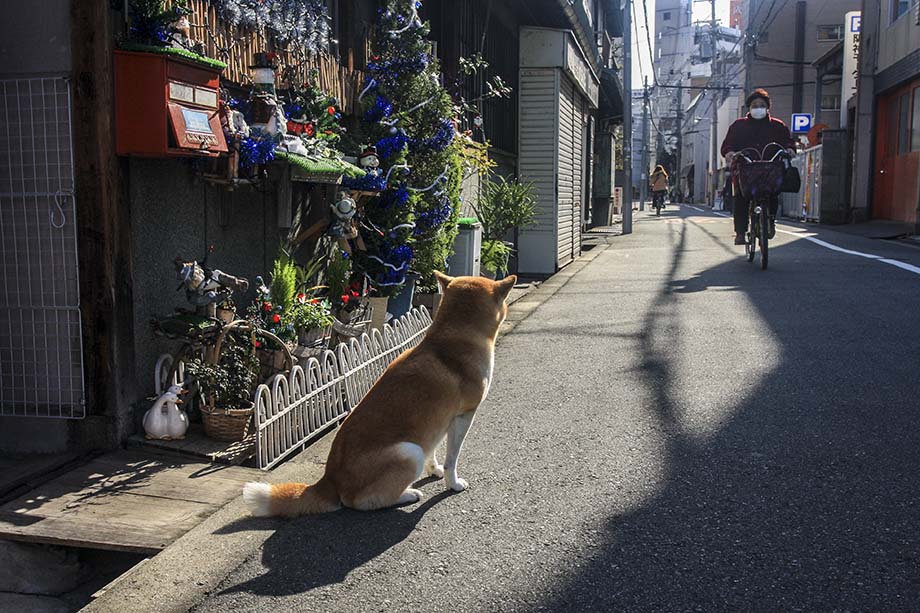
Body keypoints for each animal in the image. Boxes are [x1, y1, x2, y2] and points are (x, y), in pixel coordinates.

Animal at [244, 270, 516, 512]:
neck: (454, 338)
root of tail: (329, 480)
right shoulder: (463, 416)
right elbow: (452, 459)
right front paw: (453, 483)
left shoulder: (438, 422)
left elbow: (434, 450)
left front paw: (435, 470)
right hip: (409, 452)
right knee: (361, 502)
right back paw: (408, 495)